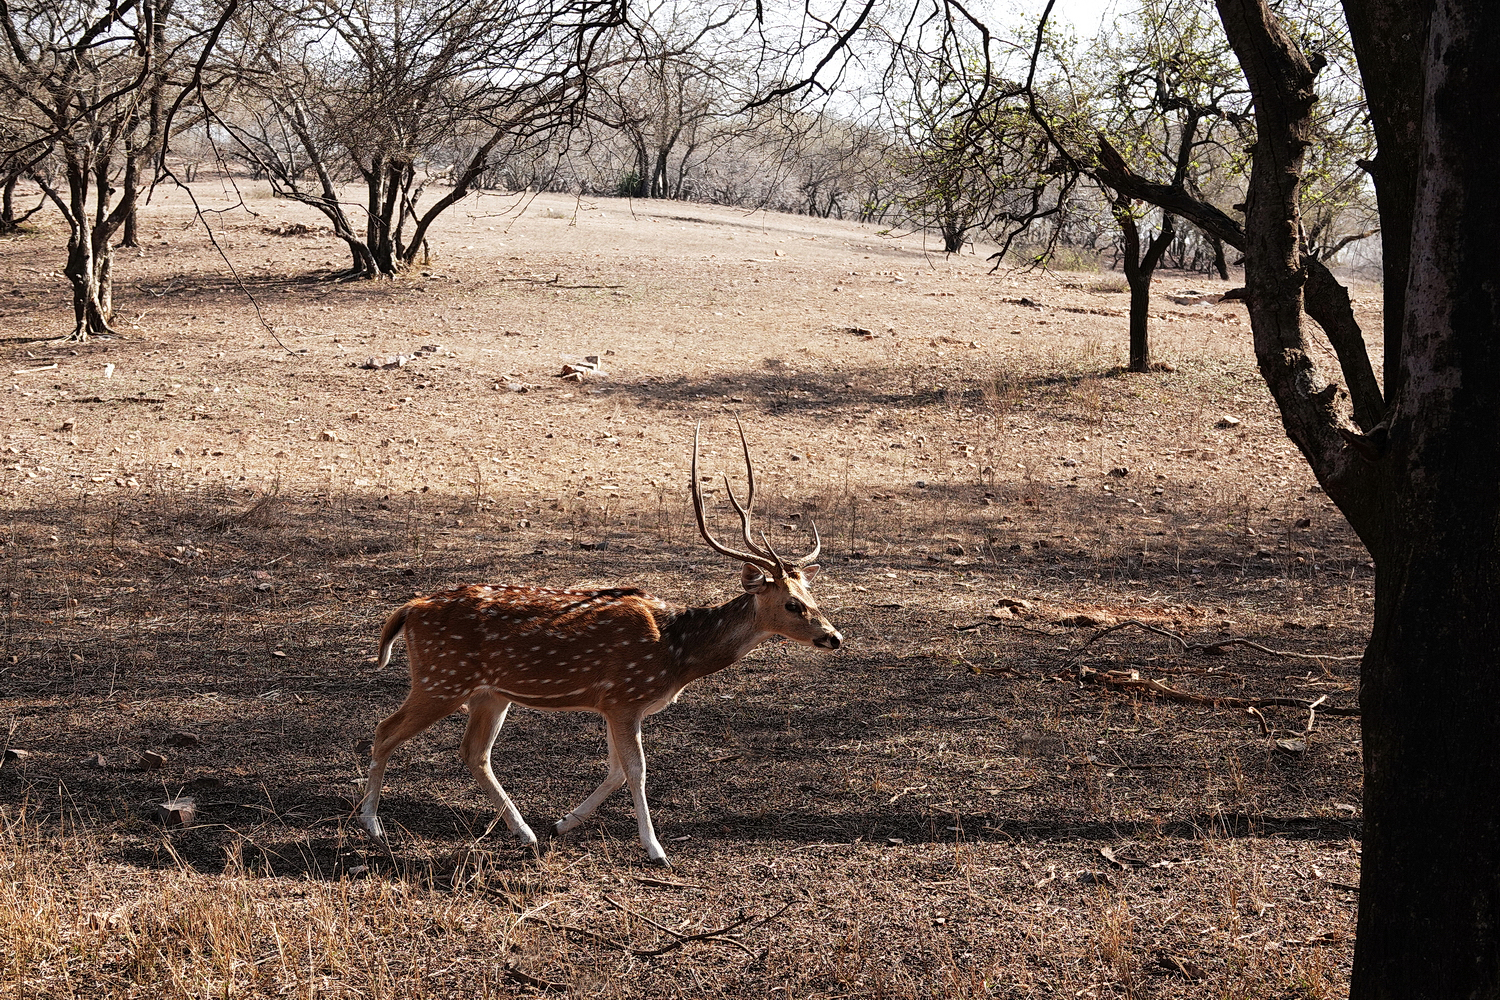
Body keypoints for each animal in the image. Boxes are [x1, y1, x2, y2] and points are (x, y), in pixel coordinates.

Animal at [357, 425, 840, 863]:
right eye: (793, 604)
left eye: (812, 595)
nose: (833, 637)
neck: (676, 654)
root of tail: (410, 609)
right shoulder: (626, 696)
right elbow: (636, 771)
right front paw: (656, 850)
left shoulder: (612, 704)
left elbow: (615, 771)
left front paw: (562, 823)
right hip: (442, 678)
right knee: (385, 730)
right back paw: (373, 825)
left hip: (488, 693)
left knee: (474, 753)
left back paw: (525, 832)